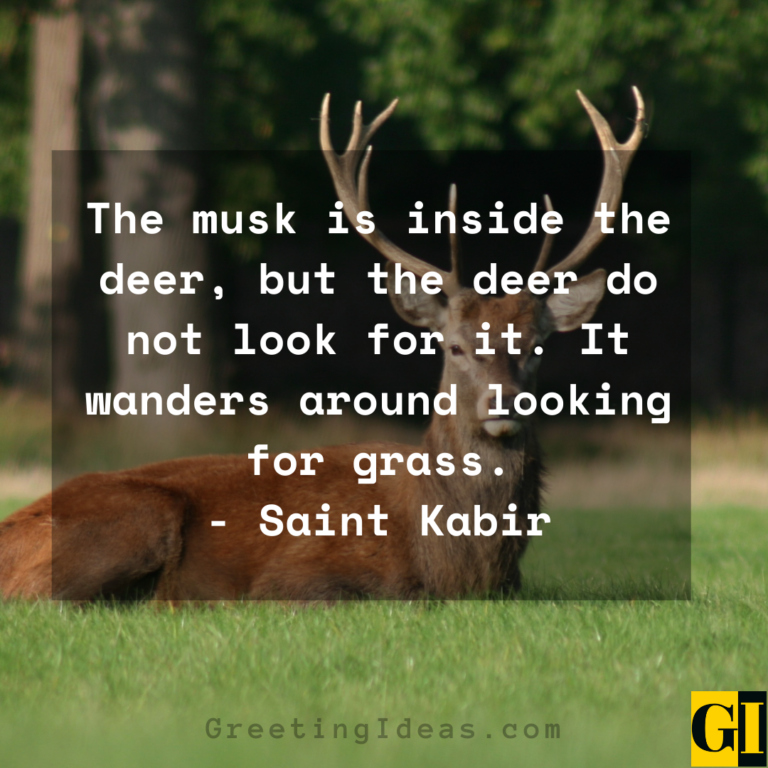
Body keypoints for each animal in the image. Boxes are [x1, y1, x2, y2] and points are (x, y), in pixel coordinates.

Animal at [0, 88, 645, 601]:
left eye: (536, 346)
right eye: (455, 347)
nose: (504, 403)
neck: (456, 564)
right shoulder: (299, 575)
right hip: (138, 517)